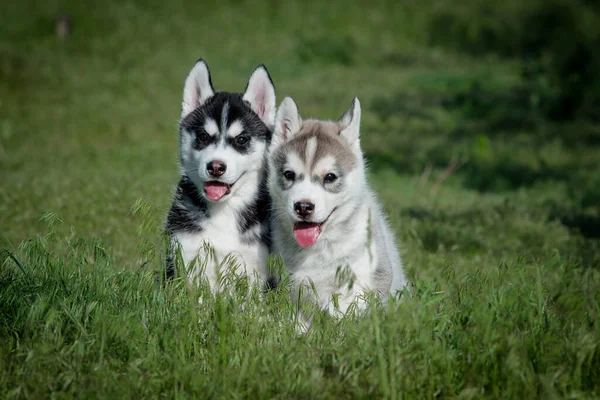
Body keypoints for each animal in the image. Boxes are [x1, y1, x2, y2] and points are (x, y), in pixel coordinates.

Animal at [165, 59, 276, 290]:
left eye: (241, 139)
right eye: (203, 136)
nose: (215, 166)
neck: (224, 211)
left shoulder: (254, 267)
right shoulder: (185, 256)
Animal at [268, 96, 406, 322]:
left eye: (330, 177)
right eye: (289, 174)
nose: (303, 206)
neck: (320, 247)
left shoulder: (371, 276)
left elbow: (344, 309)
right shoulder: (292, 285)